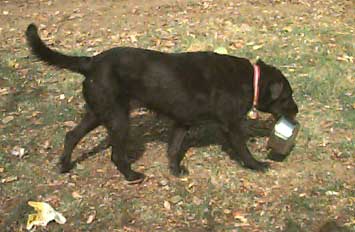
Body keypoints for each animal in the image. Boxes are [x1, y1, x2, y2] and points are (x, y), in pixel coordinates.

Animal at [25, 24, 298, 183]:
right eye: (287, 96)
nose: (297, 111)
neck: (251, 79)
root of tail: (90, 62)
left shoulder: (181, 122)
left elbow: (174, 150)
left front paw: (176, 171)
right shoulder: (230, 126)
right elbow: (243, 150)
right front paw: (256, 165)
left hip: (97, 112)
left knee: (71, 135)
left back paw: (64, 165)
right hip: (119, 119)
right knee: (116, 155)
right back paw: (132, 175)